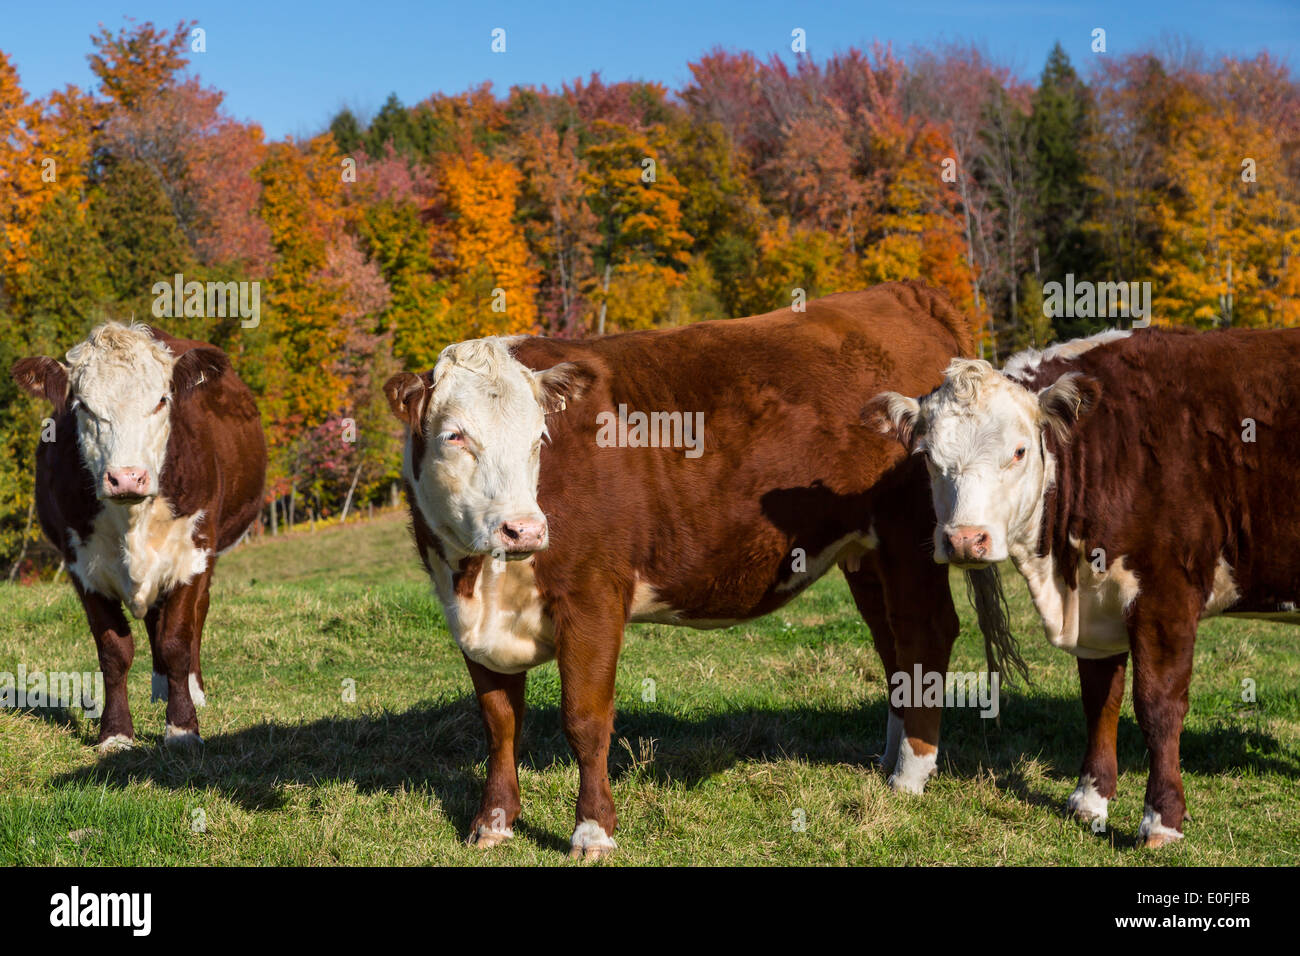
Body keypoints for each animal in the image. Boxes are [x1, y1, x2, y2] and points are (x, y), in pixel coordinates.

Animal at [12, 325, 266, 749]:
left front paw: (182, 728)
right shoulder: (81, 565)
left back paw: (189, 689)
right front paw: (115, 733)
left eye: (162, 400)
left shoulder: (193, 554)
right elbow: (114, 651)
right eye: (83, 406)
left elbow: (177, 641)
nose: (127, 477)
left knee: (195, 618)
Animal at [379, 282, 1008, 858]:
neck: (481, 581)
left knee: (926, 632)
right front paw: (493, 823)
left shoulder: (594, 595)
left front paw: (593, 832)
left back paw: (911, 773)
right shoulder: (469, 617)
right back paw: (888, 758)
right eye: (454, 435)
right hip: (866, 551)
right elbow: (499, 722)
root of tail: (901, 292)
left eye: (539, 438)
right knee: (893, 644)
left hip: (910, 537)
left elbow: (585, 719)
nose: (524, 530)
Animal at [873, 327, 1300, 842]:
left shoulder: (1167, 594)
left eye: (1019, 451)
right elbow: (1100, 700)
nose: (964, 539)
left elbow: (1158, 705)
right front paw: (1089, 800)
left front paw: (1161, 820)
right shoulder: (1098, 604)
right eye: (928, 458)